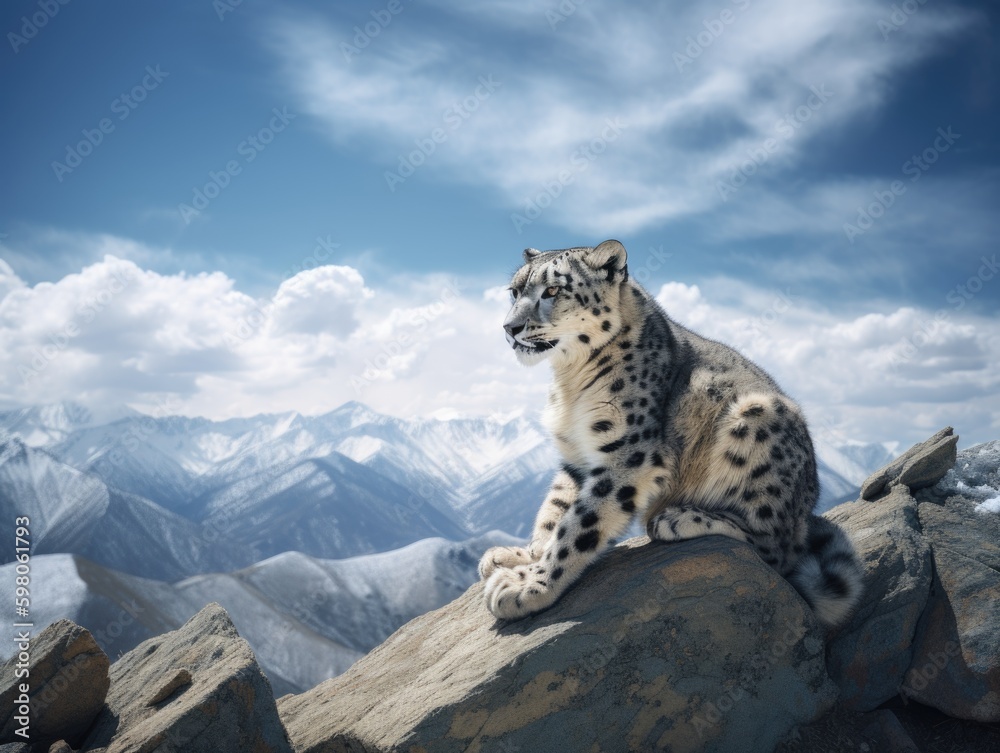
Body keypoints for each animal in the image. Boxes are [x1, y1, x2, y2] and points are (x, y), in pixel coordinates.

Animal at [478, 239, 863, 628]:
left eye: (553, 290)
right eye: (515, 291)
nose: (510, 327)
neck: (568, 381)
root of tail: (806, 504)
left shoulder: (628, 456)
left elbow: (580, 525)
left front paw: (527, 588)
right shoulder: (577, 456)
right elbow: (555, 509)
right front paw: (522, 556)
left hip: (757, 420)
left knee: (775, 552)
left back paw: (678, 519)